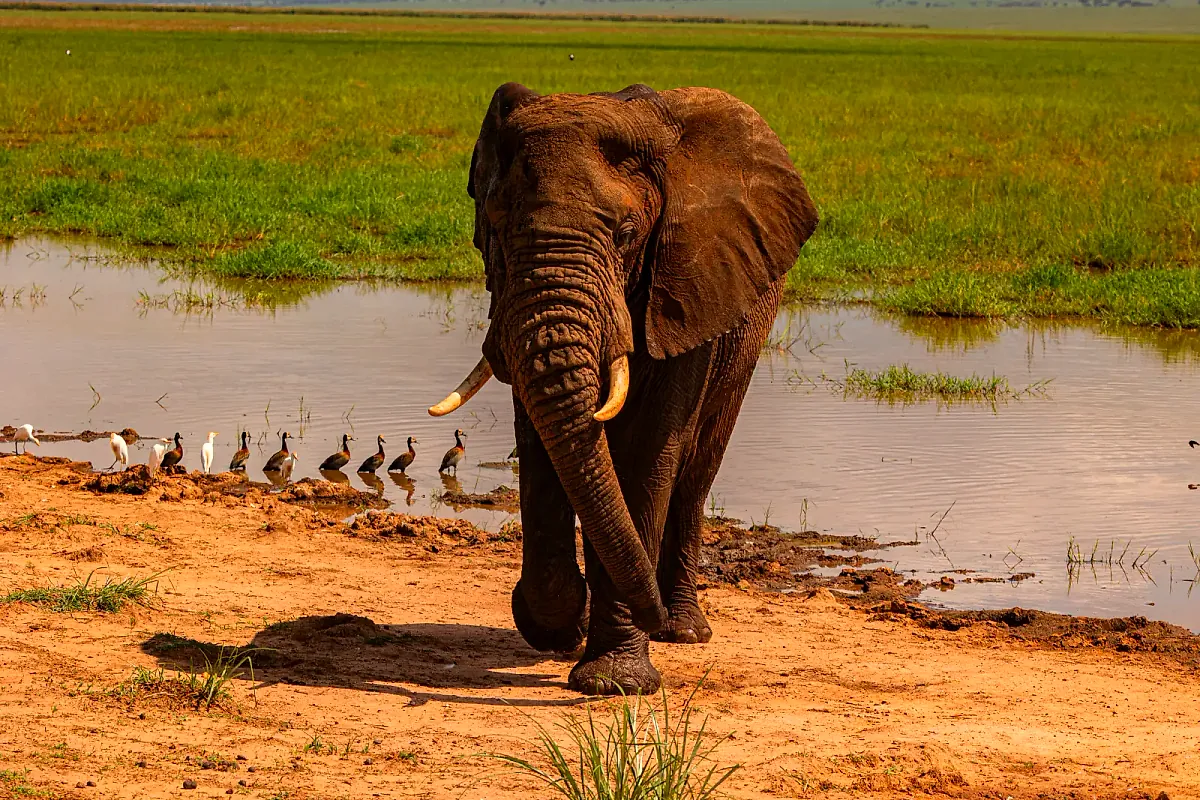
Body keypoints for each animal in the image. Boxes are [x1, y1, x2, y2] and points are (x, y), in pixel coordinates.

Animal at [429, 82, 818, 695]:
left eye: (626, 234)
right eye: (496, 228)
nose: (650, 613)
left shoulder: (688, 285)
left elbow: (645, 455)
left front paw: (615, 681)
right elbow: (542, 446)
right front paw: (559, 629)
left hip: (744, 339)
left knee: (695, 474)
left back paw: (683, 630)